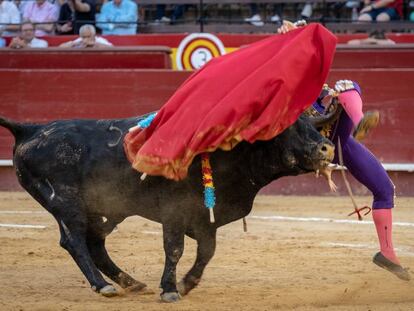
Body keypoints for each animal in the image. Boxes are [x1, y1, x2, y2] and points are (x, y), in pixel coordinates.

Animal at [0, 111, 336, 302]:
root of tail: (30, 129)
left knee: (94, 244)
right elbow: (175, 249)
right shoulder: (175, 212)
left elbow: (206, 252)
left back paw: (132, 283)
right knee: (75, 242)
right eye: (287, 129)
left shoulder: (205, 217)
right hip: (67, 202)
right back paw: (103, 286)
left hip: (106, 209)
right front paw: (171, 289)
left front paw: (187, 283)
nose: (327, 147)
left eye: (315, 127)